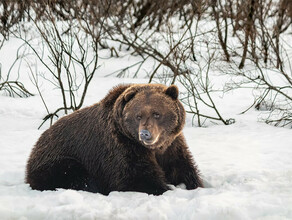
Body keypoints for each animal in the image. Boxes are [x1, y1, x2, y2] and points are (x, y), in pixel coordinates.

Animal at [25, 84, 203, 194]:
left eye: (157, 113)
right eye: (138, 116)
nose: (145, 134)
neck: (153, 148)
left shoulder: (172, 146)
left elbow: (183, 168)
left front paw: (195, 185)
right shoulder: (122, 147)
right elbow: (136, 178)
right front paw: (164, 188)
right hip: (59, 160)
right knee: (75, 175)